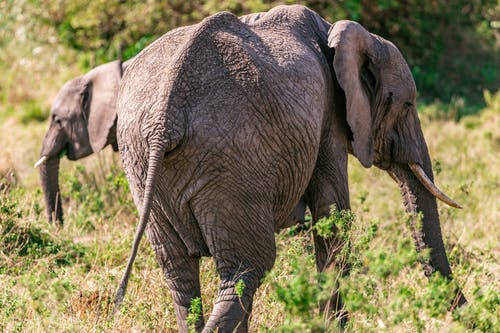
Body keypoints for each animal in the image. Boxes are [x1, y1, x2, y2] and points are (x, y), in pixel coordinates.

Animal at [112, 5, 464, 332]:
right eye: (407, 105)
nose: (463, 311)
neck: (337, 32)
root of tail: (164, 121)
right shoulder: (328, 116)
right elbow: (332, 213)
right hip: (230, 167)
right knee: (247, 268)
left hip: (144, 168)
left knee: (181, 274)